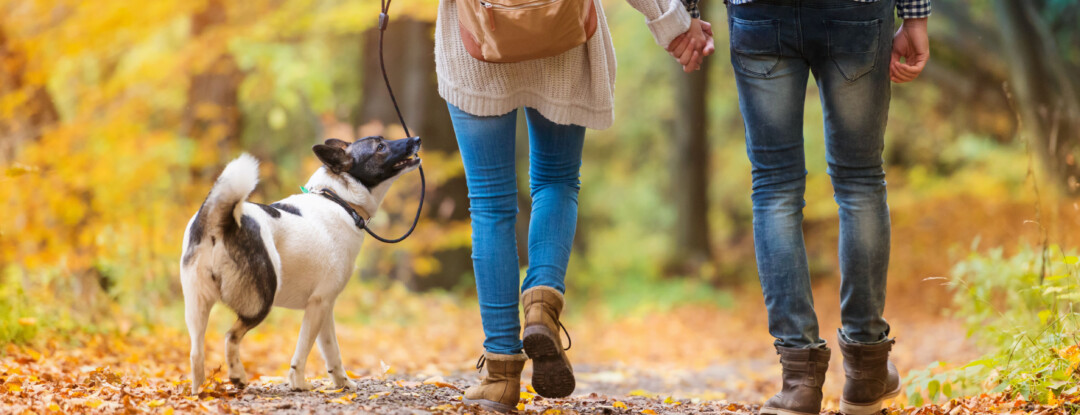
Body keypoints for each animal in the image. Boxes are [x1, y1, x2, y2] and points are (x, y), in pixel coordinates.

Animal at [179, 137, 419, 395]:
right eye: (380, 147)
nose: (416, 140)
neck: (339, 200)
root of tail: (220, 221)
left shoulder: (325, 308)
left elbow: (332, 351)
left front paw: (342, 383)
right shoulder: (318, 305)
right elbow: (303, 351)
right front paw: (299, 384)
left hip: (197, 307)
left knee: (196, 353)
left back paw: (200, 393)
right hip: (260, 302)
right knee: (231, 336)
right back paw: (237, 376)